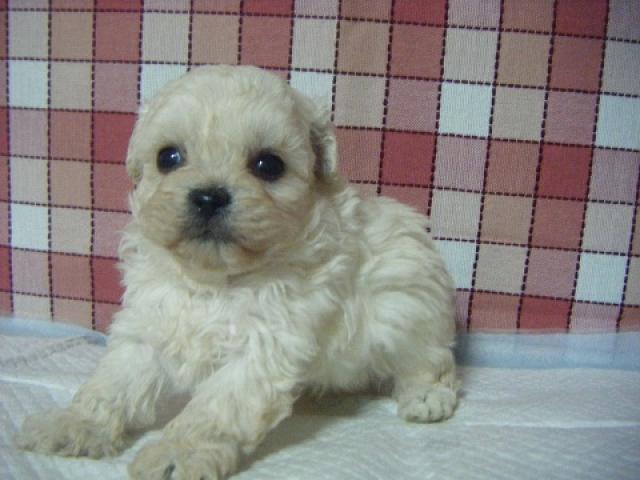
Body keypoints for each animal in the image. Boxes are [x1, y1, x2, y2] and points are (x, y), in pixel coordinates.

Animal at [17, 65, 459, 479]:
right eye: (168, 157)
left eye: (268, 165)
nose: (209, 196)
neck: (215, 281)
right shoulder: (148, 326)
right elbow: (112, 384)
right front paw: (75, 424)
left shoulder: (265, 346)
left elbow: (214, 410)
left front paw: (177, 453)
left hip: (408, 304)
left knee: (430, 359)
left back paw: (426, 397)